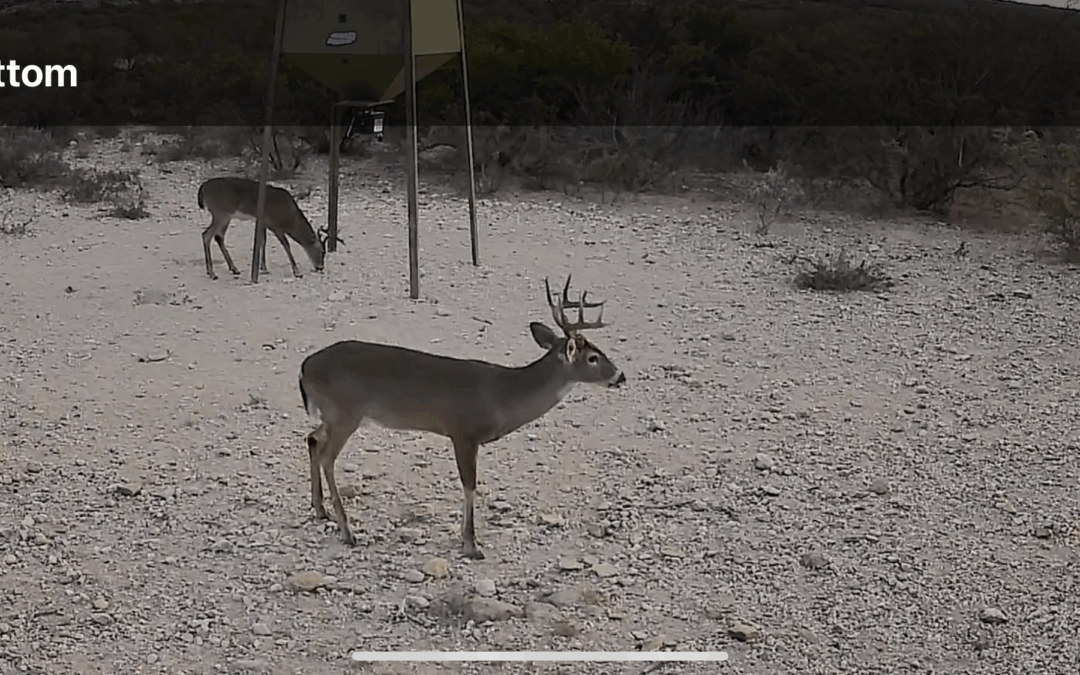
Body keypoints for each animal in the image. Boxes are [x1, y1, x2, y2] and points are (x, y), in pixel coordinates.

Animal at [196, 177, 342, 280]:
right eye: (322, 251)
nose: (320, 267)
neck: (289, 216)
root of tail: (203, 189)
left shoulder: (263, 222)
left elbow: (262, 242)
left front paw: (264, 267)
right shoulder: (275, 225)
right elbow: (286, 245)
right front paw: (297, 272)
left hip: (226, 216)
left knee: (218, 237)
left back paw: (234, 268)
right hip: (221, 212)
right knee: (206, 235)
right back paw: (212, 273)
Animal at [298, 276, 626, 560]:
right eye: (593, 358)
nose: (621, 376)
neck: (502, 396)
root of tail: (304, 367)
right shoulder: (463, 431)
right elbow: (470, 485)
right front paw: (471, 544)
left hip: (334, 415)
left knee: (312, 438)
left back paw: (320, 510)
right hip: (344, 412)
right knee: (327, 457)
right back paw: (347, 531)